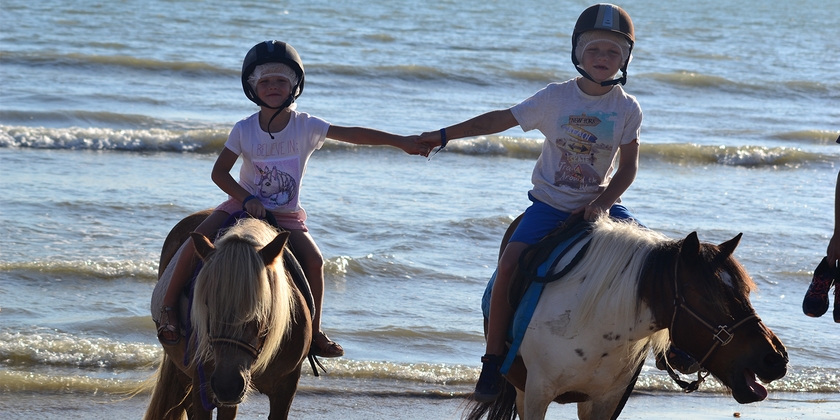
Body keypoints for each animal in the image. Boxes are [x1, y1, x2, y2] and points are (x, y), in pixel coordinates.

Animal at [466, 216, 788, 420]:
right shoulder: (536, 392)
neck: (595, 325)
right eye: (709, 298)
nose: (776, 358)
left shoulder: (607, 401)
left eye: (745, 291)